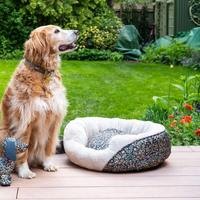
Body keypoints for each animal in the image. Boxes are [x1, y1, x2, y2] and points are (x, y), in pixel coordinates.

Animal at [0, 24, 78, 178]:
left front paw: (48, 164)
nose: (77, 31)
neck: (43, 72)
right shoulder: (25, 121)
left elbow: (48, 146)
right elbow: (23, 149)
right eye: (56, 31)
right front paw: (24, 171)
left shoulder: (54, 118)